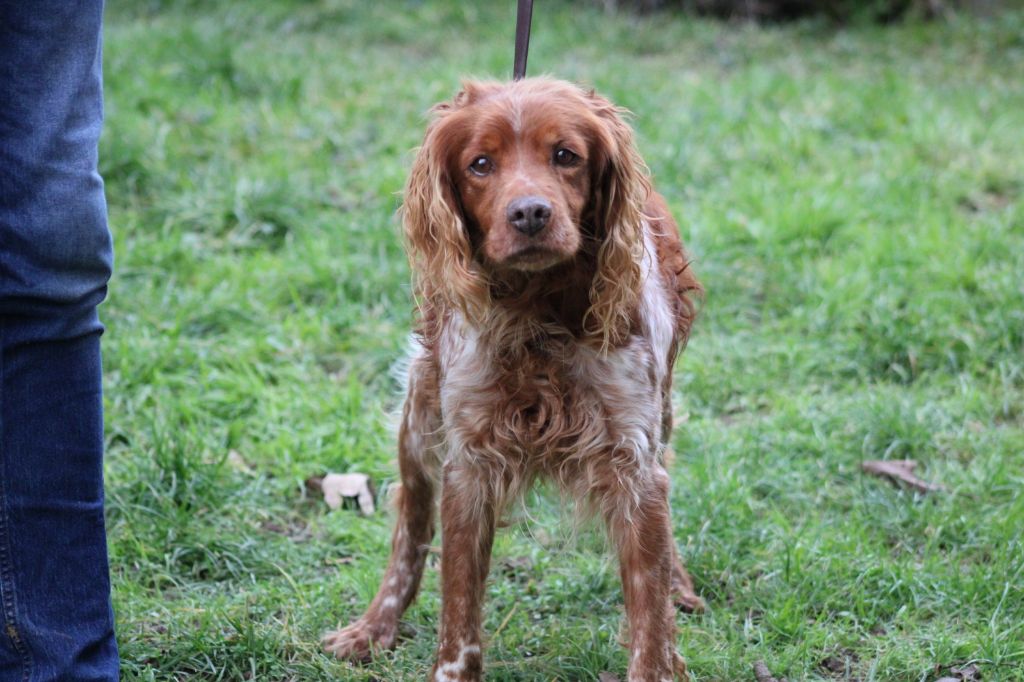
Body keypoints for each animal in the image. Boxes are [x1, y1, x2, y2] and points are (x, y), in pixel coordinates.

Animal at [325, 76, 704, 675]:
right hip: (418, 418)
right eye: (480, 164)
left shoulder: (632, 462)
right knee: (411, 526)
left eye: (566, 156)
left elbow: (650, 613)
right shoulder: (469, 465)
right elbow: (458, 611)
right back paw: (373, 627)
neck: (538, 317)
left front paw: (661, 633)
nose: (530, 213)